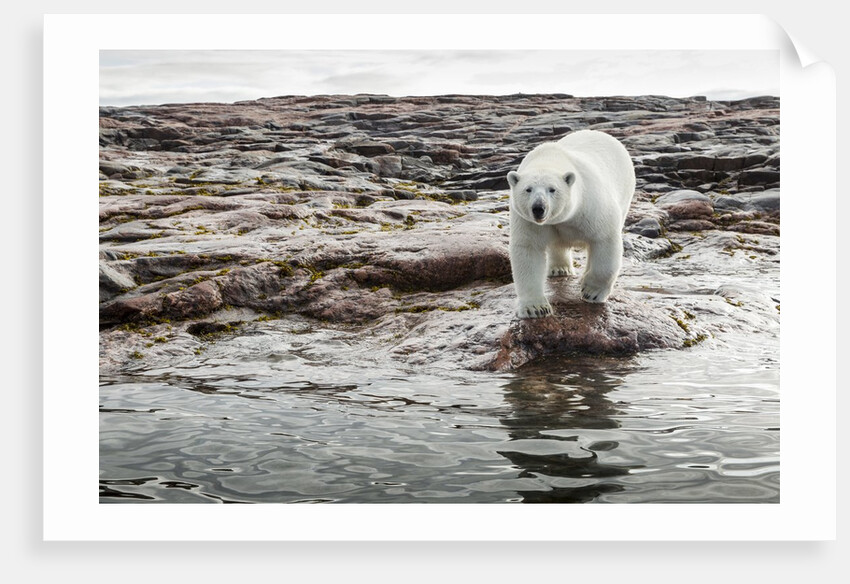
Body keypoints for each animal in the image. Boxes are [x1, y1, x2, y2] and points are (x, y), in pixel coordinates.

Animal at [506, 129, 635, 318]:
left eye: (552, 189)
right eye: (528, 189)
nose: (538, 208)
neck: (550, 158)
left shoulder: (590, 206)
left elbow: (604, 239)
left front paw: (592, 292)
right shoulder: (528, 221)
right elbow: (528, 250)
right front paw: (536, 308)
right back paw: (560, 268)